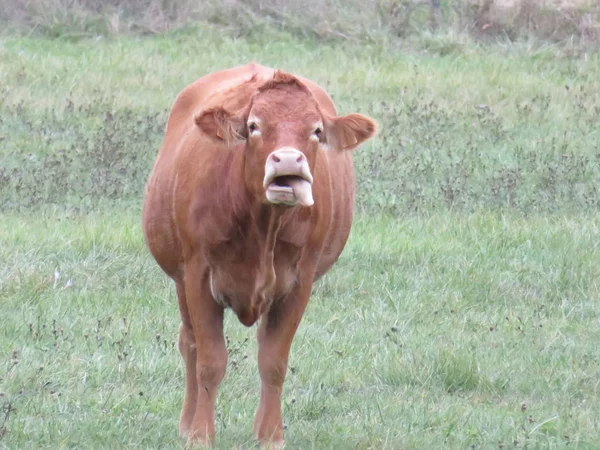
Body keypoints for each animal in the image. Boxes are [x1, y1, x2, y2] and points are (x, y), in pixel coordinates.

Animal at [142, 62, 376, 446]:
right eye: (254, 126)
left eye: (316, 130)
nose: (288, 159)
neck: (263, 227)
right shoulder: (197, 276)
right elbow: (209, 360)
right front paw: (201, 435)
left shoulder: (299, 284)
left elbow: (273, 361)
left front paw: (271, 436)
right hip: (179, 278)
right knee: (189, 344)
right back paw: (187, 422)